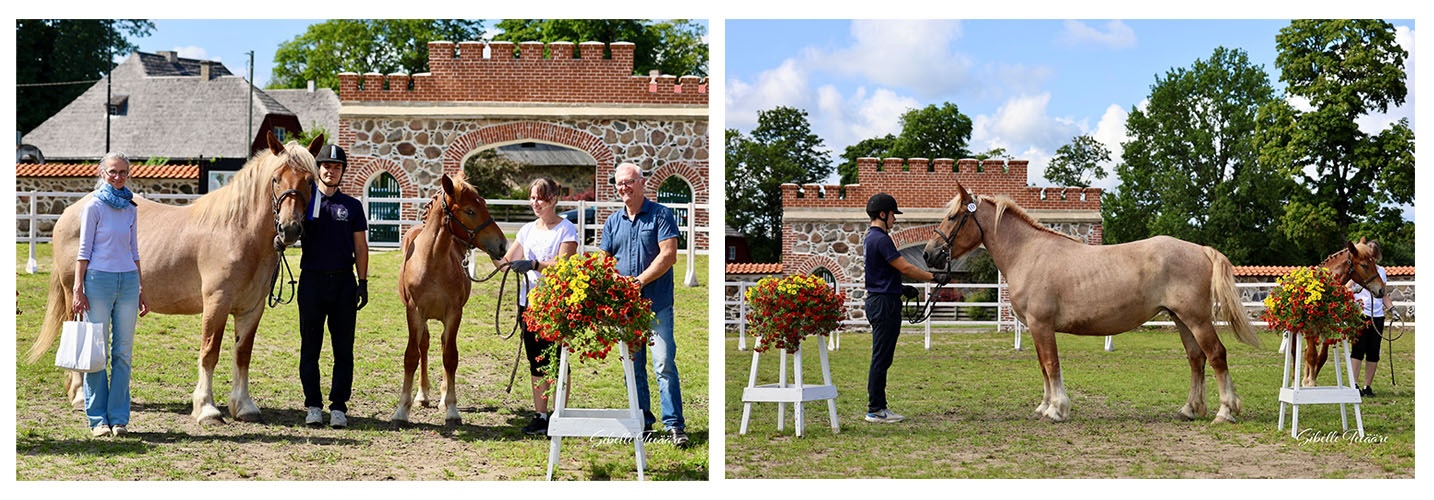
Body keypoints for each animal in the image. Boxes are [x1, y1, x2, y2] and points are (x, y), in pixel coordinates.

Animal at [26, 129, 322, 421]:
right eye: (276, 179)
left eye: (310, 180)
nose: (290, 229)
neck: (237, 231)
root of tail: (70, 212)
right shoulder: (216, 303)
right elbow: (209, 352)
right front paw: (206, 408)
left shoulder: (251, 309)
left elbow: (242, 354)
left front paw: (244, 406)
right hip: (76, 296)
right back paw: (78, 395)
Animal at [390, 171, 507, 424]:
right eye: (470, 211)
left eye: (484, 204)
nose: (503, 245)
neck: (432, 261)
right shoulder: (414, 312)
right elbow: (411, 356)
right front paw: (402, 410)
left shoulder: (454, 313)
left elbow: (450, 356)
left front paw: (451, 408)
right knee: (424, 345)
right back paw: (422, 395)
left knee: (444, 345)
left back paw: (442, 399)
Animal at [923, 181, 1261, 421]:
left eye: (952, 217)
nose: (929, 253)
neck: (1028, 253)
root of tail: (1200, 249)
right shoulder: (1034, 328)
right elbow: (1043, 366)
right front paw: (1044, 406)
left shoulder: (1041, 325)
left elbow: (1051, 364)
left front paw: (1057, 409)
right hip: (1181, 320)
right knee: (1196, 358)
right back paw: (1190, 409)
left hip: (1197, 319)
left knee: (1216, 355)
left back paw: (1225, 412)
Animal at [1296, 239, 1382, 386]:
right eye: (1364, 265)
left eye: (1374, 264)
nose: (1381, 290)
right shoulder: (1310, 329)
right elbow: (1312, 356)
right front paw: (1310, 383)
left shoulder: (1328, 331)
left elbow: (1321, 357)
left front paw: (1312, 380)